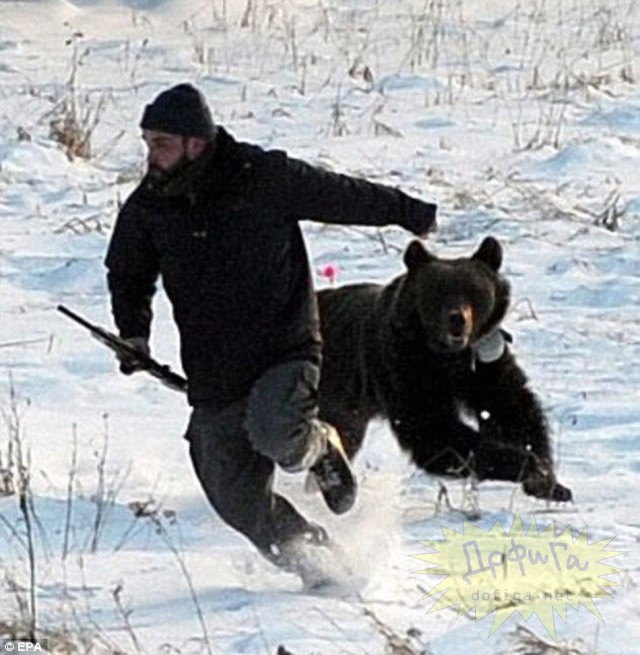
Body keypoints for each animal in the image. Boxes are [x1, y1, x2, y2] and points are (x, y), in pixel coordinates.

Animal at [318, 238, 572, 504]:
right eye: (437, 291)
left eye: (474, 290)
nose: (457, 319)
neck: (448, 357)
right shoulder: (404, 367)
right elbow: (435, 432)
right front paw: (526, 464)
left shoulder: (485, 362)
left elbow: (515, 412)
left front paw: (548, 481)